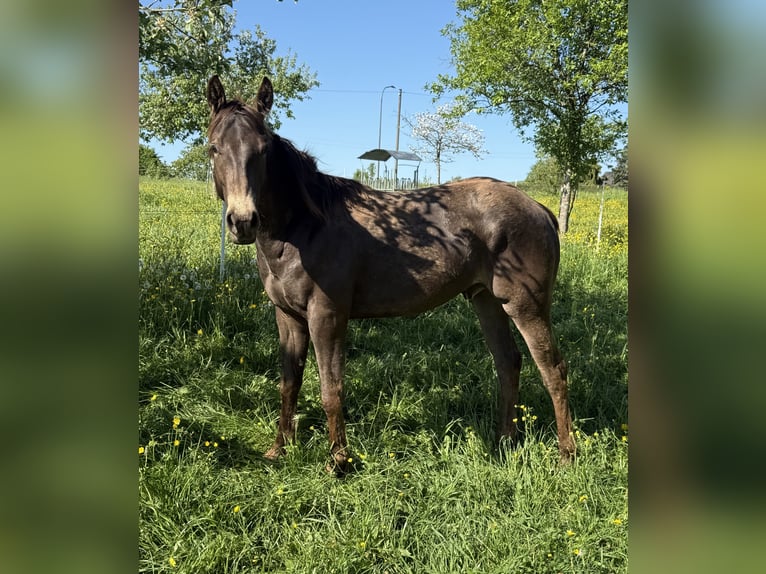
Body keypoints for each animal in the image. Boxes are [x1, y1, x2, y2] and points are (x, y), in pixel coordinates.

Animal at [206, 75, 575, 473]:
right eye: (213, 148)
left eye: (262, 150)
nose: (243, 221)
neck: (304, 228)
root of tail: (539, 209)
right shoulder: (287, 317)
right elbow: (289, 383)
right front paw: (279, 449)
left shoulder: (327, 316)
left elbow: (331, 388)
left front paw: (339, 460)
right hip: (487, 301)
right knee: (508, 363)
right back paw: (505, 440)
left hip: (527, 306)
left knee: (553, 369)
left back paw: (566, 454)